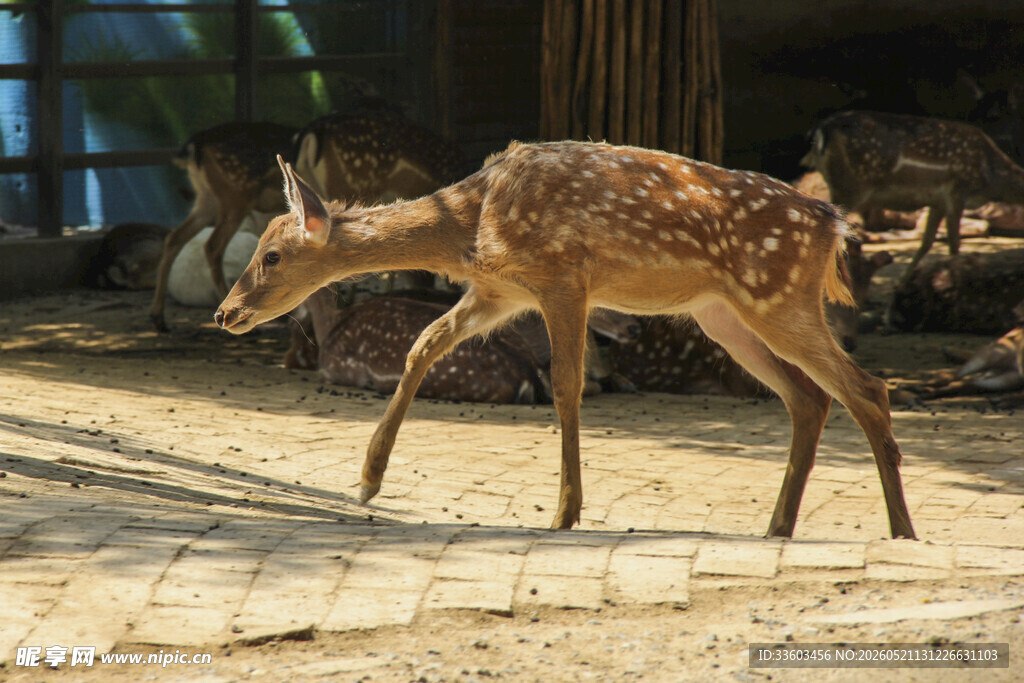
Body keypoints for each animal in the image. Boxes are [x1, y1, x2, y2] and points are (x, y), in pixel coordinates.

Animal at [149, 122, 298, 331]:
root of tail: (194, 147)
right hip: (235, 196)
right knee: (213, 245)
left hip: (207, 197)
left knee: (175, 237)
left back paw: (158, 317)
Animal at [215, 141, 916, 540]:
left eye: (272, 255)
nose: (225, 313)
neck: (470, 223)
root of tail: (833, 225)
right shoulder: (499, 292)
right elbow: (423, 344)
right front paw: (366, 481)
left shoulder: (562, 276)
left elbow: (567, 389)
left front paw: (566, 513)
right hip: (723, 313)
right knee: (810, 397)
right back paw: (778, 526)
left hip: (777, 297)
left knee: (867, 387)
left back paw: (900, 529)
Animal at [801, 111, 1024, 297]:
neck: (994, 180)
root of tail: (821, 132)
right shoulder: (957, 190)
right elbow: (954, 243)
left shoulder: (938, 201)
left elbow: (927, 242)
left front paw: (901, 285)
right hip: (851, 187)